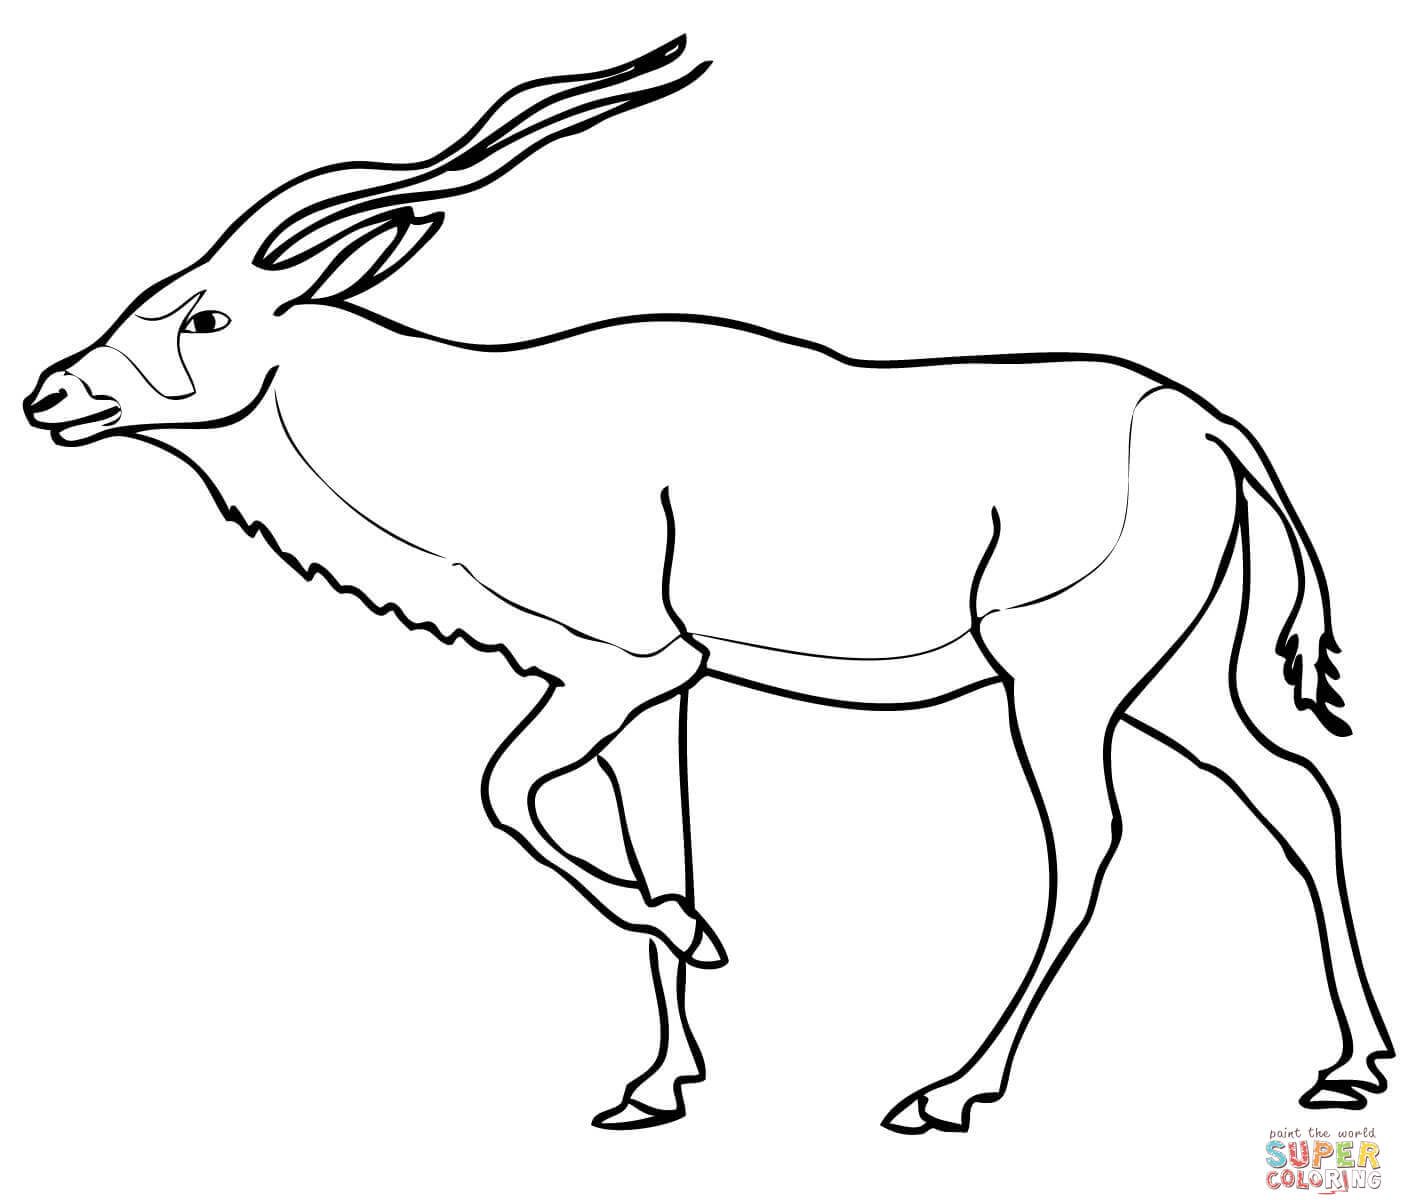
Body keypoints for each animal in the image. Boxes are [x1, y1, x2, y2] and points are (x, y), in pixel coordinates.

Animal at [22, 36, 1392, 1132]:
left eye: (203, 317)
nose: (50, 395)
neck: (488, 423)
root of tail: (1203, 425)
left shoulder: (625, 666)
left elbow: (504, 792)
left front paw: (705, 943)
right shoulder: (660, 694)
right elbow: (666, 843)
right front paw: (656, 1084)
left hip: (1059, 686)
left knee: (1092, 843)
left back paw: (947, 1091)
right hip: (1167, 689)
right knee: (1295, 793)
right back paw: (1351, 1067)